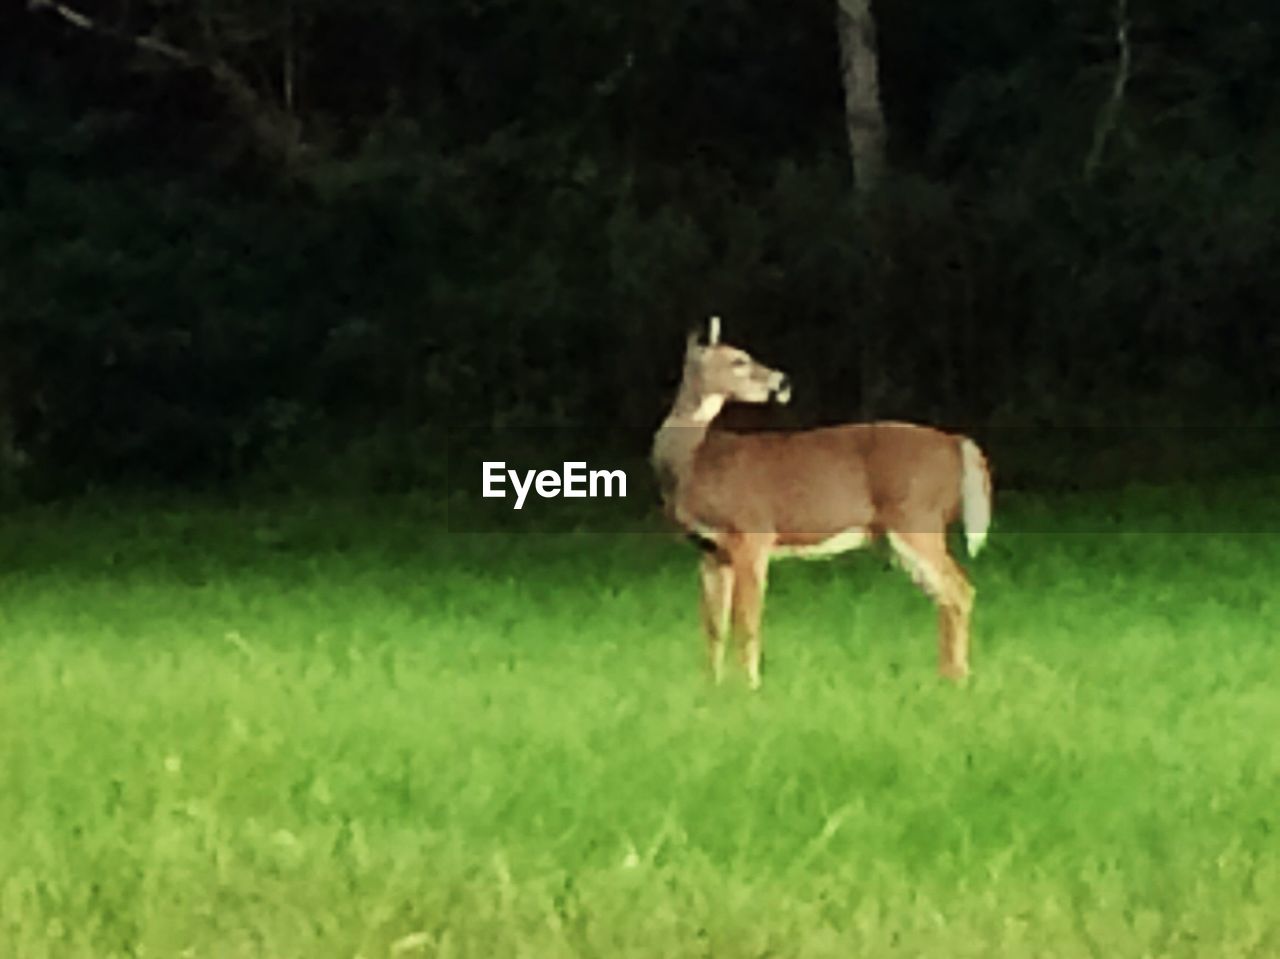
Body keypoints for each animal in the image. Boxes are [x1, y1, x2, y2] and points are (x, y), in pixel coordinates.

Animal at [650, 317, 988, 686]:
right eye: (739, 360)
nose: (781, 381)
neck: (693, 461)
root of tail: (957, 443)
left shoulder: (753, 532)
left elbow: (747, 622)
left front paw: (751, 687)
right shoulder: (711, 550)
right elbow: (714, 627)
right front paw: (713, 687)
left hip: (916, 517)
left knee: (960, 591)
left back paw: (959, 681)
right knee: (946, 596)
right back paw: (947, 678)